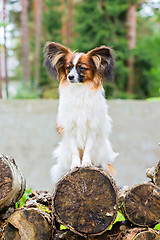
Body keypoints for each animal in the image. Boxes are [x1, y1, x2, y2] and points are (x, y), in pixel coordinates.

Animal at [43, 41, 117, 184]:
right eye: (68, 67)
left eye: (82, 68)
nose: (70, 77)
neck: (79, 90)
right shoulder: (70, 127)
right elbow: (74, 150)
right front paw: (76, 164)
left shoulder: (92, 127)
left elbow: (88, 147)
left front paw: (86, 163)